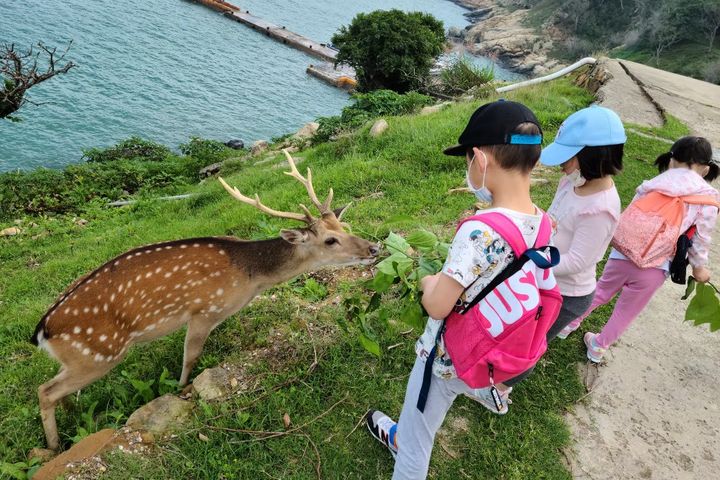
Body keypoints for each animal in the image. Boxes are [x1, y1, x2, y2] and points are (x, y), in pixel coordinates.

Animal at [31, 150, 380, 450]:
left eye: (343, 225)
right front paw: (181, 388)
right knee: (45, 390)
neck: (249, 276)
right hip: (99, 353)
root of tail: (42, 331)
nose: (373, 248)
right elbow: (191, 356)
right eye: (330, 240)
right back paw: (53, 445)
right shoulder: (205, 310)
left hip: (81, 358)